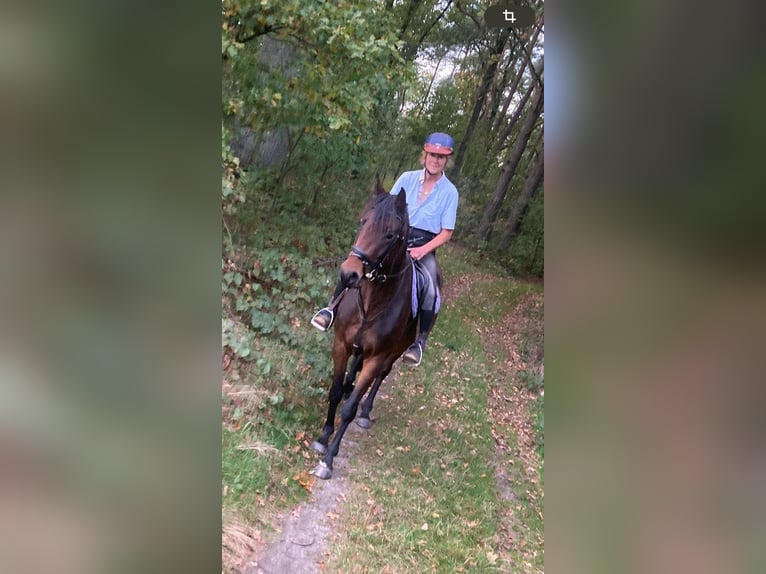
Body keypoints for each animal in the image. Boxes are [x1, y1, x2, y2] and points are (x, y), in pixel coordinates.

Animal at [311, 178, 438, 480]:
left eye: (390, 235)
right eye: (362, 221)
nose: (349, 274)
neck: (372, 301)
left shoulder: (377, 356)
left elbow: (349, 408)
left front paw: (328, 460)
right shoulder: (341, 344)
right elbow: (335, 391)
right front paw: (322, 438)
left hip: (395, 352)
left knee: (381, 376)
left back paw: (366, 412)